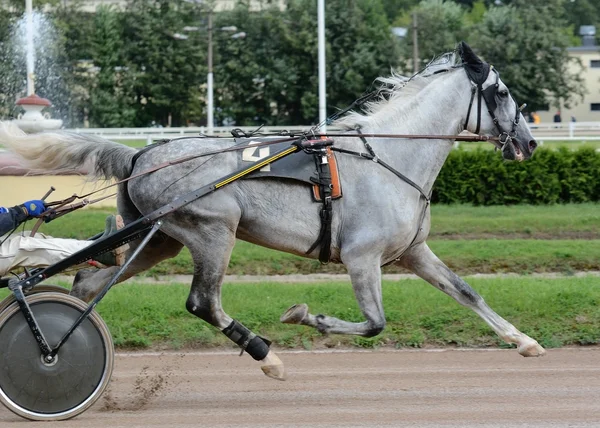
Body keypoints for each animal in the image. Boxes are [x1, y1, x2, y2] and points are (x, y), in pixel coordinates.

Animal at [0, 41, 544, 380]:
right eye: (500, 92)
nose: (530, 142)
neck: (388, 156)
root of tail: (139, 155)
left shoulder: (412, 251)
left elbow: (467, 292)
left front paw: (524, 341)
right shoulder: (362, 258)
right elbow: (374, 323)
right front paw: (307, 316)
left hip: (160, 238)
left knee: (89, 282)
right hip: (212, 231)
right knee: (202, 302)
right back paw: (266, 356)